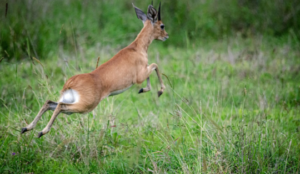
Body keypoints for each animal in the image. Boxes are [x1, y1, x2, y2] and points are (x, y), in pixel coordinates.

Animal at [21, 1, 169, 137]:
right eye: (162, 25)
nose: (166, 36)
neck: (137, 48)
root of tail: (70, 82)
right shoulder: (140, 75)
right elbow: (155, 65)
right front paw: (159, 91)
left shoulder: (143, 71)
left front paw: (144, 89)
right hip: (85, 106)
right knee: (60, 106)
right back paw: (42, 131)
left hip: (72, 104)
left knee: (49, 103)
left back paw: (26, 128)